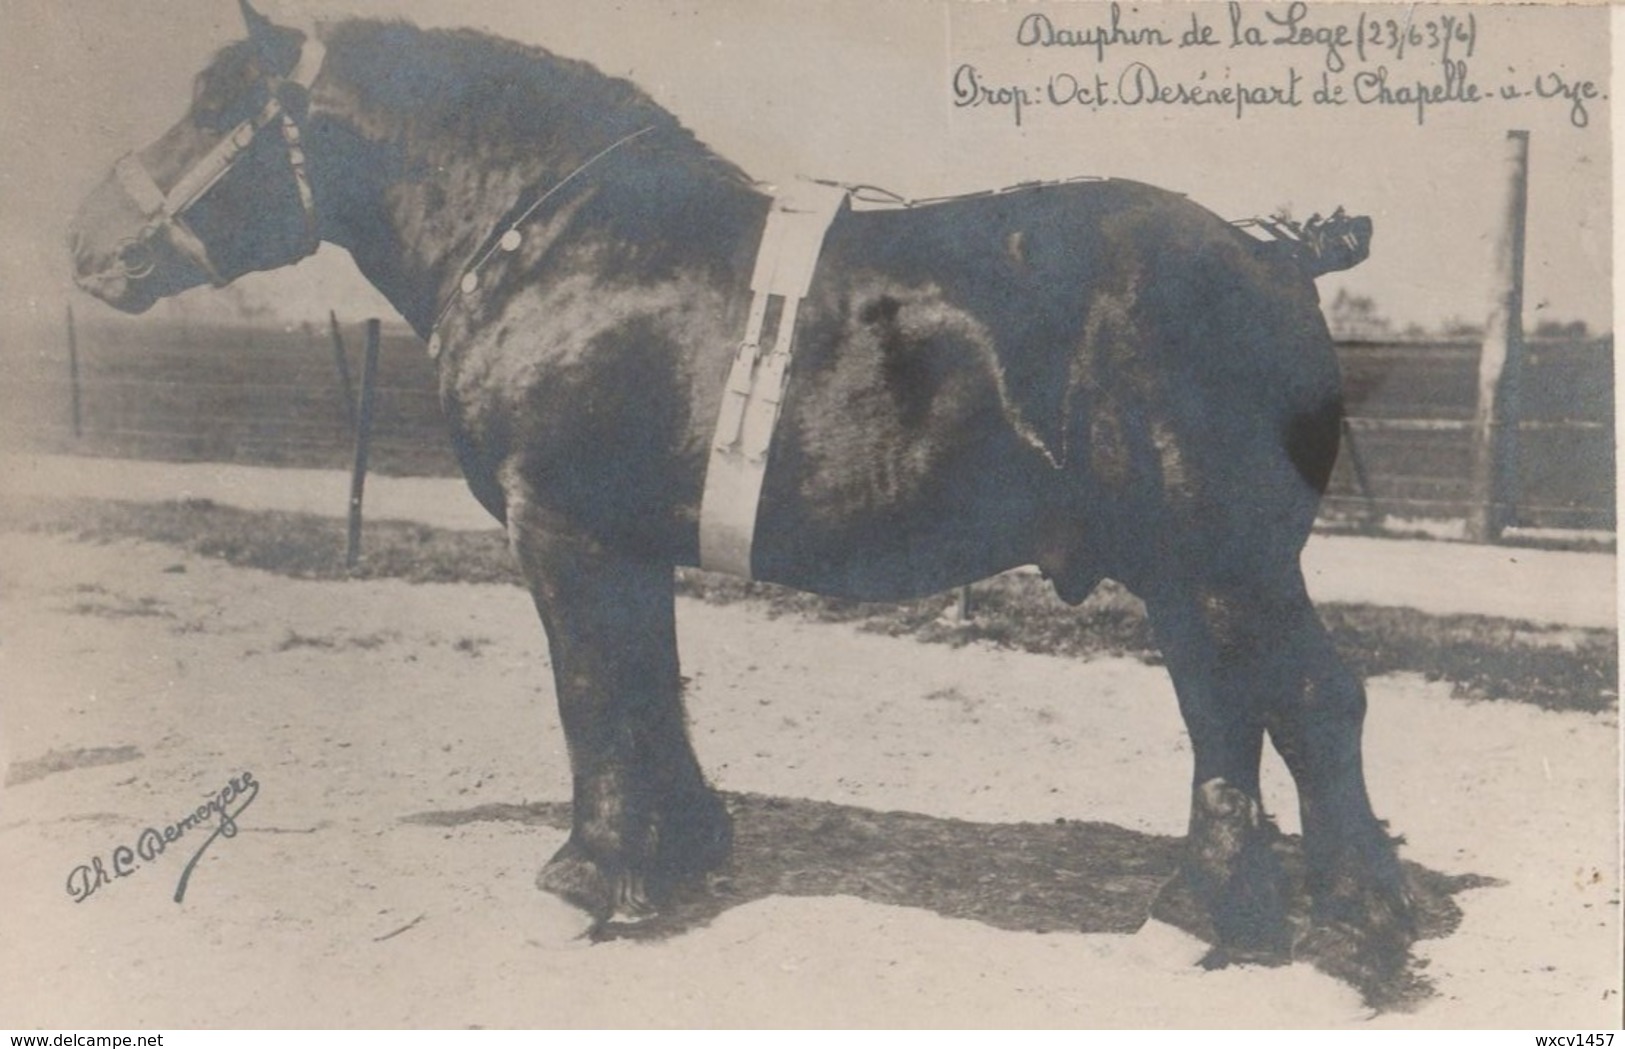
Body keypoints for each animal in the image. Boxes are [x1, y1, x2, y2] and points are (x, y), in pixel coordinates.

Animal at [69, 0, 1410, 967]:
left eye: (220, 107)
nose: (90, 246)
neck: (558, 242)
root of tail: (1274, 256)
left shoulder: (558, 527)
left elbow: (592, 692)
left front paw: (584, 875)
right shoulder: (624, 540)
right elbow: (649, 685)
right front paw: (675, 853)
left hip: (1217, 557)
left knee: (1299, 701)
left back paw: (1321, 917)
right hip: (1184, 568)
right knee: (1242, 709)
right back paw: (1239, 914)